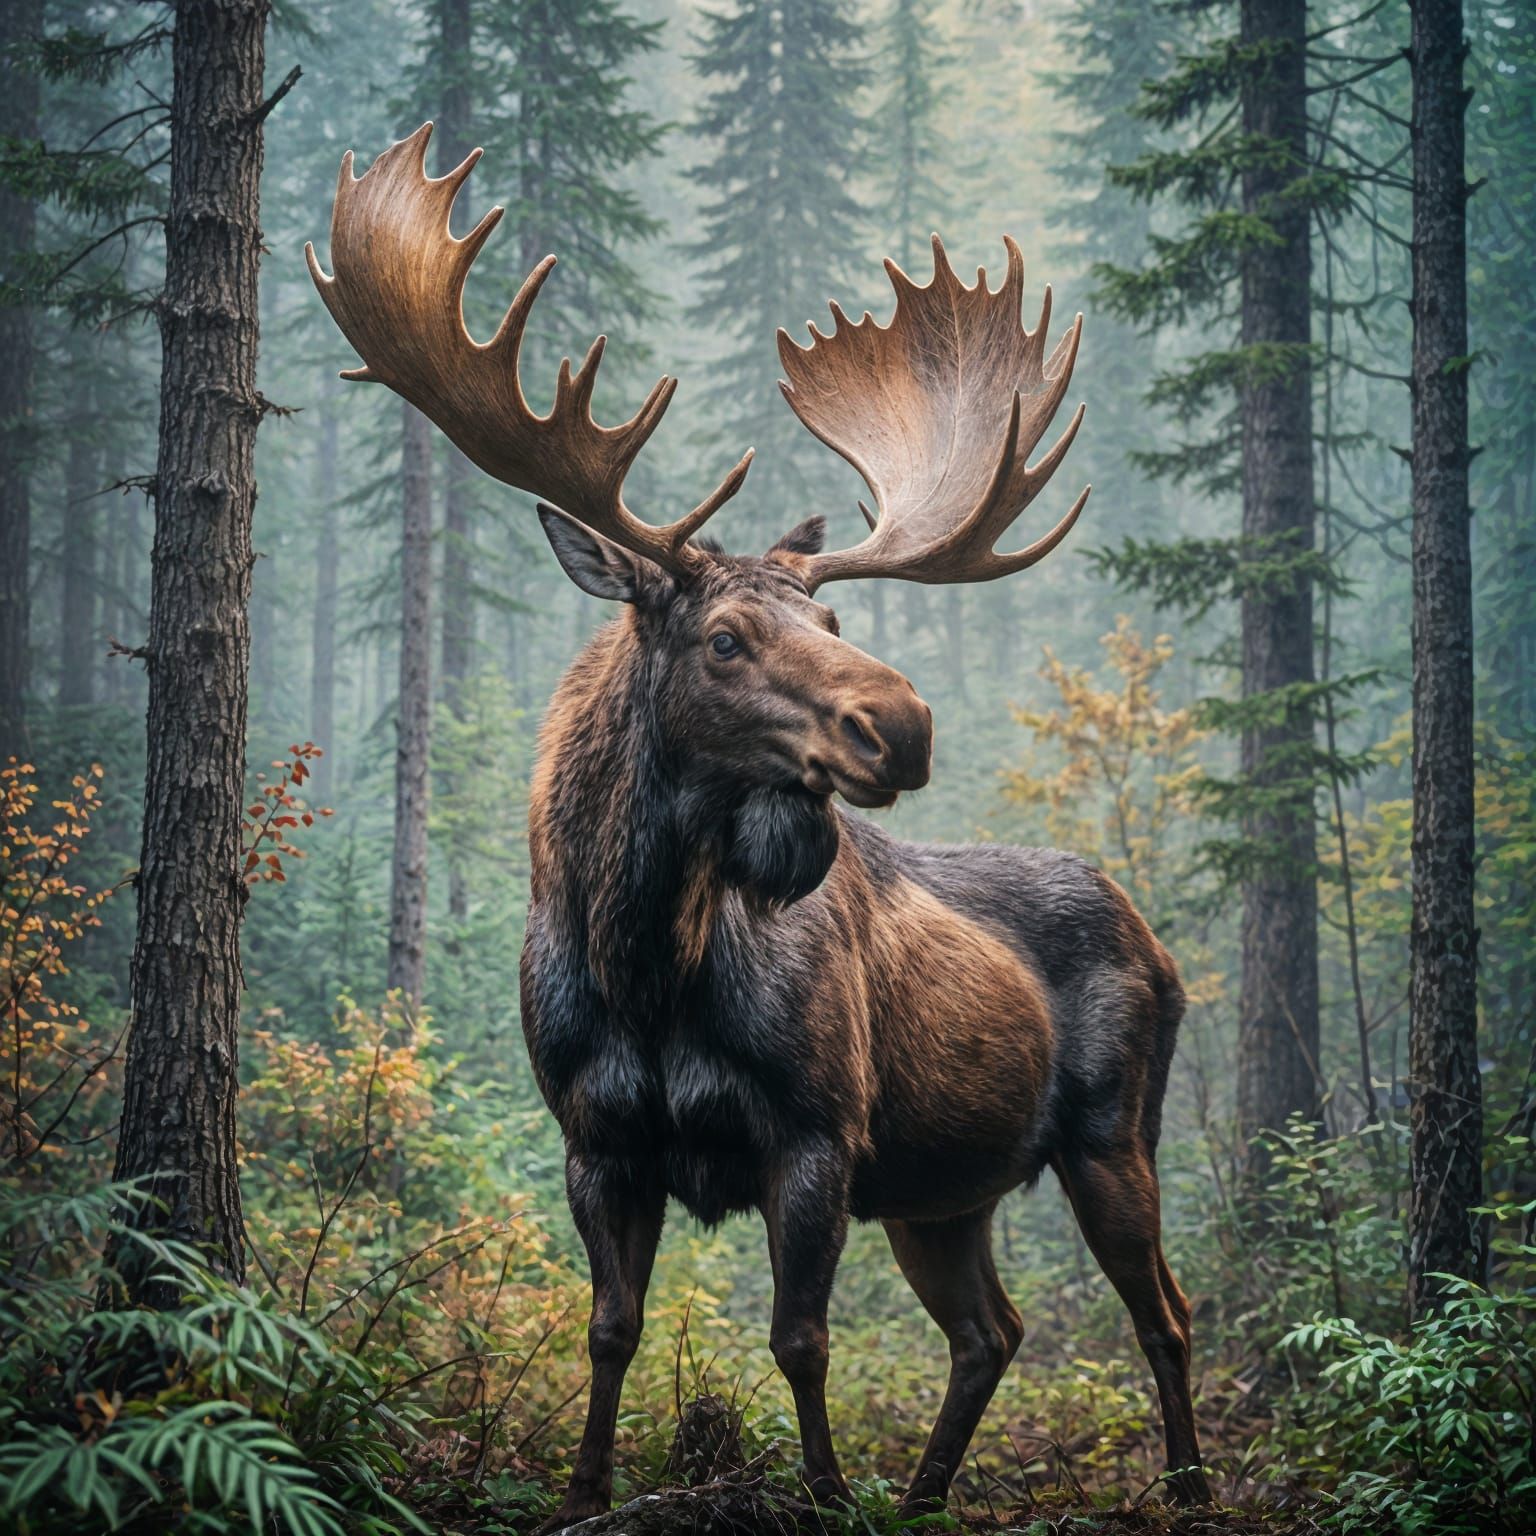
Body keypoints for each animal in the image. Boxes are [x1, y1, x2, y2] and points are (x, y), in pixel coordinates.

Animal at [308, 124, 1212, 1528]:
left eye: (832, 621)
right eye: (727, 637)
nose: (904, 723)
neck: (646, 961)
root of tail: (1157, 943)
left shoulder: (816, 1129)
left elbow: (799, 1340)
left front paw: (828, 1492)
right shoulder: (595, 1137)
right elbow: (610, 1330)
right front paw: (584, 1492)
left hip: (1113, 1126)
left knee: (1166, 1310)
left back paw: (1183, 1484)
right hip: (944, 1189)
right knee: (993, 1331)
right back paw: (929, 1494)